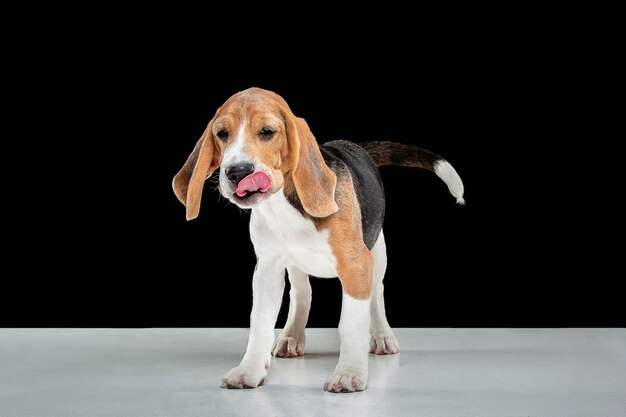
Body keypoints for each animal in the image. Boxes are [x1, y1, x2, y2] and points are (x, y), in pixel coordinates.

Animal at [171, 86, 464, 392]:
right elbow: (260, 322)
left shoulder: (356, 264)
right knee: (302, 293)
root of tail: (353, 146)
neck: (284, 206)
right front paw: (249, 369)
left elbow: (351, 324)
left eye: (267, 132)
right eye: (222, 133)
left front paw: (349, 373)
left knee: (377, 293)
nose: (237, 172)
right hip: (295, 265)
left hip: (378, 251)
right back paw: (292, 335)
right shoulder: (267, 269)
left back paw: (382, 336)